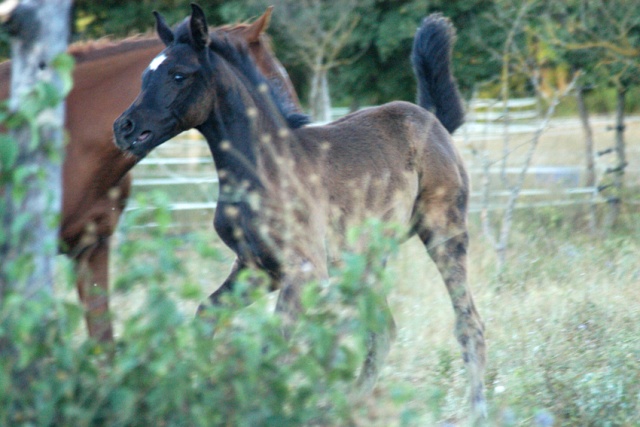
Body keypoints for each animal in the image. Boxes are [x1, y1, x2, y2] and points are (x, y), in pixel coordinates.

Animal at [115, 5, 484, 422]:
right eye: (145, 76)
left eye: (178, 75)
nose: (124, 127)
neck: (263, 167)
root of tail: (434, 122)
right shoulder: (256, 268)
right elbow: (207, 315)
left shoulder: (305, 269)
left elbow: (276, 343)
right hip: (365, 258)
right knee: (383, 332)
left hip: (444, 232)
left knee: (468, 324)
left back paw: (479, 410)